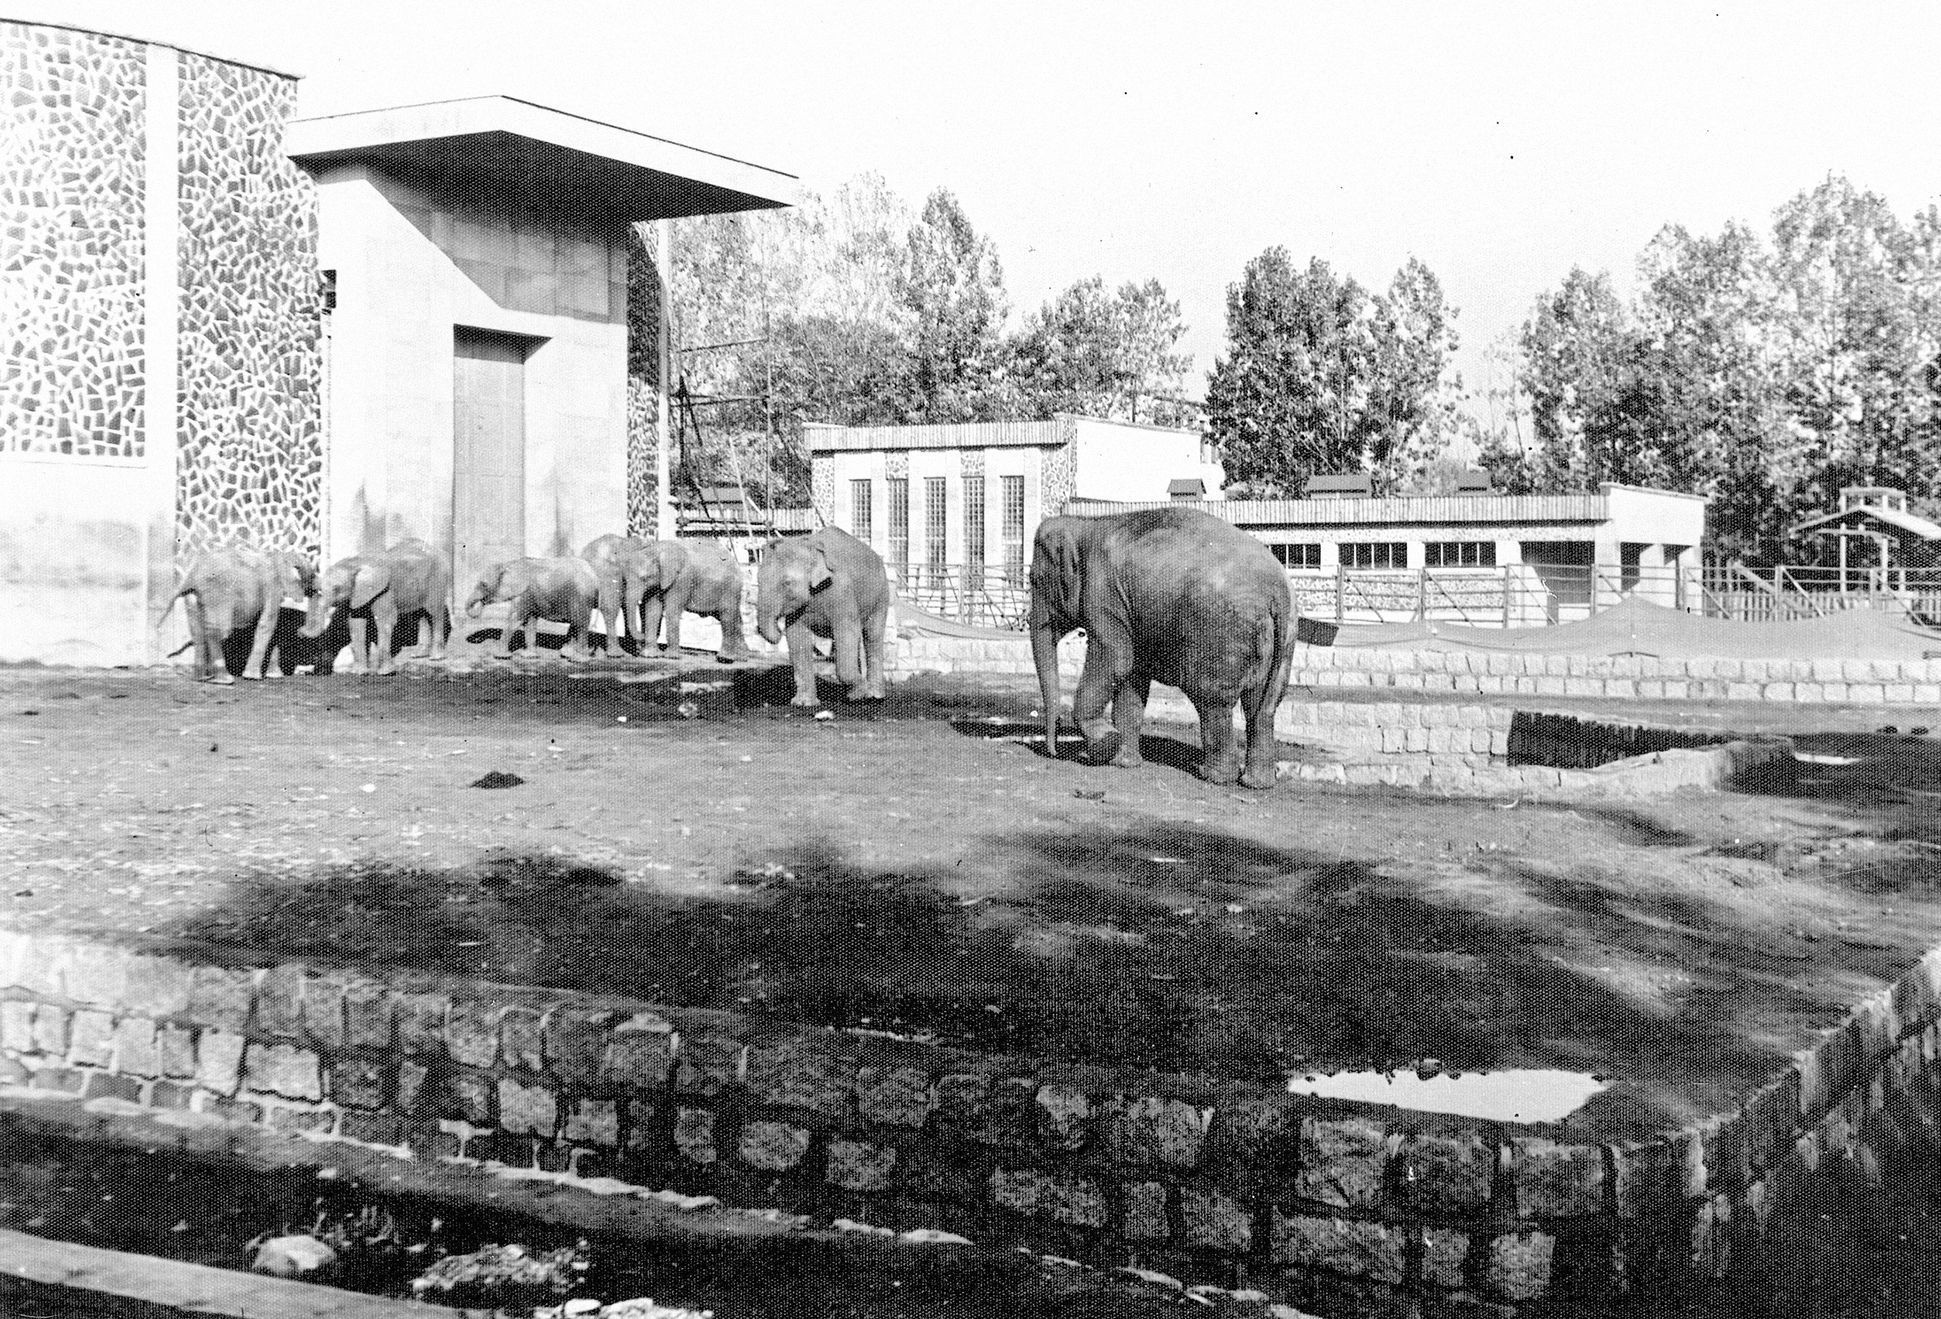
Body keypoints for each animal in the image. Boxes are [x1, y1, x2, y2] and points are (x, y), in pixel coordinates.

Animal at [164, 546, 316, 686]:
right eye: (313, 575)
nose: (300, 632)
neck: (279, 555)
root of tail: (192, 573)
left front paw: (274, 676)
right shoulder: (273, 587)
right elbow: (267, 624)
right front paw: (252, 677)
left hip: (194, 596)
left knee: (198, 631)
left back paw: (202, 678)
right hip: (218, 591)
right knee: (218, 630)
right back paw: (225, 680)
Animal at [298, 539, 450, 675]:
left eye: (337, 588)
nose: (299, 631)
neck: (357, 563)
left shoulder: (384, 590)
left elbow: (384, 621)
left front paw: (385, 673)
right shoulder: (358, 594)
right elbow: (356, 624)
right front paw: (359, 673)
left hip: (438, 578)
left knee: (434, 613)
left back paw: (436, 657)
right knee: (421, 615)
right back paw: (418, 655)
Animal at [461, 554, 597, 659]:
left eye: (483, 584)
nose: (479, 606)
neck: (508, 564)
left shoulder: (524, 593)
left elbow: (516, 619)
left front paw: (501, 656)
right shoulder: (530, 595)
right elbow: (530, 622)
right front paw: (529, 656)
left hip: (581, 596)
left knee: (581, 622)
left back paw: (580, 658)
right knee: (576, 622)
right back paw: (569, 654)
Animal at [753, 527, 888, 706]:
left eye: (786, 583)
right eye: (758, 580)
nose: (778, 631)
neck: (808, 543)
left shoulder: (841, 590)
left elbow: (846, 631)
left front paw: (862, 695)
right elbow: (797, 637)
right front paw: (803, 703)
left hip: (881, 595)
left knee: (872, 636)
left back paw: (874, 695)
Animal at [1024, 508, 1296, 787]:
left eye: (1034, 579)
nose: (1053, 751)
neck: (1085, 524)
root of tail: (1276, 591)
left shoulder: (1104, 595)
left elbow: (1116, 659)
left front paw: (1105, 744)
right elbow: (1132, 677)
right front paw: (1123, 762)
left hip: (1220, 636)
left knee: (1212, 700)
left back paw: (1213, 777)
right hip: (1283, 640)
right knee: (1262, 704)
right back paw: (1257, 783)